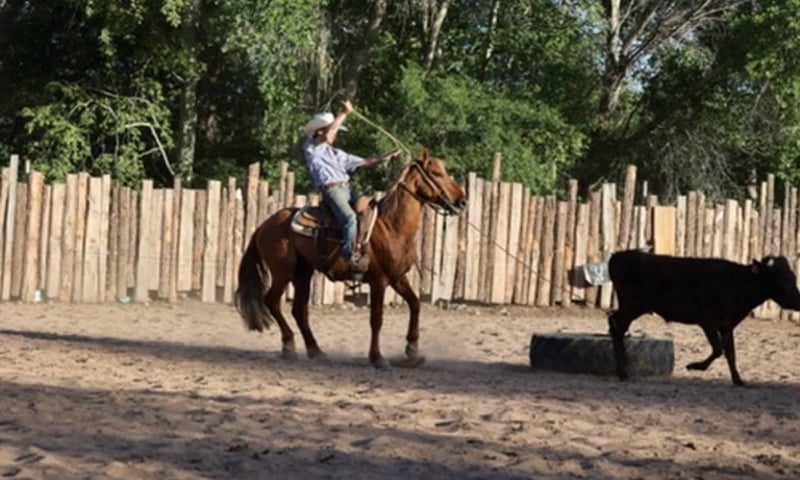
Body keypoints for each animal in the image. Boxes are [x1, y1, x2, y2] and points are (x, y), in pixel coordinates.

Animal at [235, 148, 468, 369]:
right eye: (436, 173)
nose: (462, 201)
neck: (391, 225)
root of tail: (264, 225)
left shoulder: (397, 277)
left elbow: (415, 304)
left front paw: (412, 350)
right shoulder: (378, 281)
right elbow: (377, 319)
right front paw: (378, 358)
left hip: (303, 273)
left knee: (299, 310)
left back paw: (315, 350)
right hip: (283, 271)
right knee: (272, 300)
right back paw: (289, 345)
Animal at [607, 249, 800, 386]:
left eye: (792, 277)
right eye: (780, 280)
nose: (798, 301)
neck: (738, 283)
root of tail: (618, 256)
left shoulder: (726, 326)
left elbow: (730, 353)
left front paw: (738, 380)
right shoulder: (708, 322)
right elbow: (718, 349)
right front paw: (694, 366)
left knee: (615, 325)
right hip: (632, 307)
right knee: (616, 325)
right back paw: (622, 372)